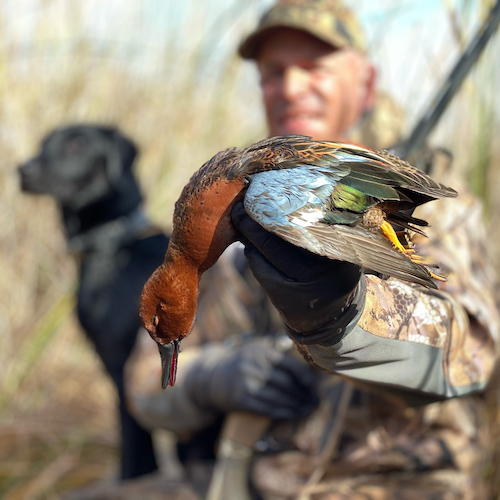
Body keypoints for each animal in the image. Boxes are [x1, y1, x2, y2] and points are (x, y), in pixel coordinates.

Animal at [18, 125, 169, 480]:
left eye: (78, 143)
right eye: (43, 144)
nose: (24, 170)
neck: (113, 245)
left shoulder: (122, 364)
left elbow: (135, 448)